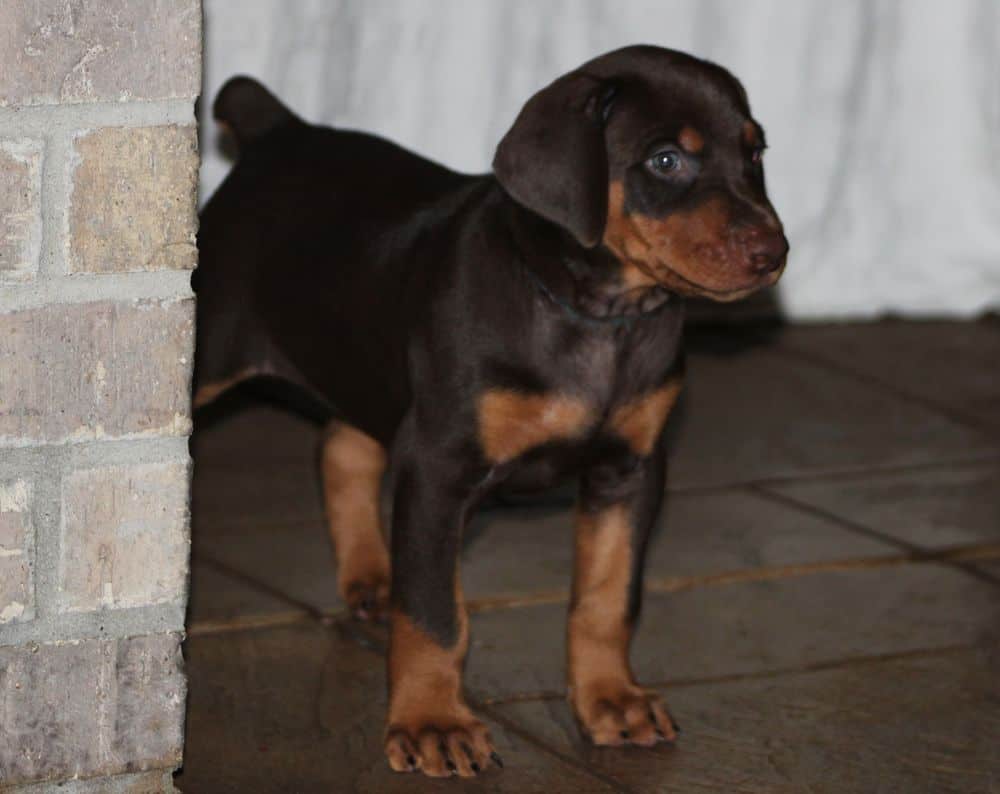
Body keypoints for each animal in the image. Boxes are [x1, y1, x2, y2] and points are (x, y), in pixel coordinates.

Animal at [195, 44, 788, 780]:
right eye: (665, 160)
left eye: (755, 153)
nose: (773, 254)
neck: (597, 316)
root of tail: (280, 132)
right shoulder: (439, 467)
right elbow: (434, 615)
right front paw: (432, 723)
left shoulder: (632, 470)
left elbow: (607, 597)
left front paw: (611, 699)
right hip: (213, 349)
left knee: (342, 446)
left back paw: (372, 576)